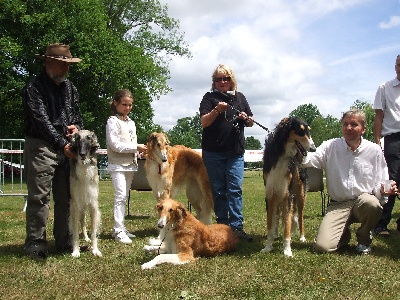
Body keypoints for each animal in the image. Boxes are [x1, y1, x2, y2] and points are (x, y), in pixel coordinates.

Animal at [68, 129, 101, 258]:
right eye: (77, 138)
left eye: (89, 138)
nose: (82, 154)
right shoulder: (75, 204)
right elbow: (75, 232)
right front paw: (76, 251)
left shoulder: (93, 204)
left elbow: (93, 232)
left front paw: (95, 250)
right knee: (81, 222)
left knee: (83, 222)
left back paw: (86, 238)